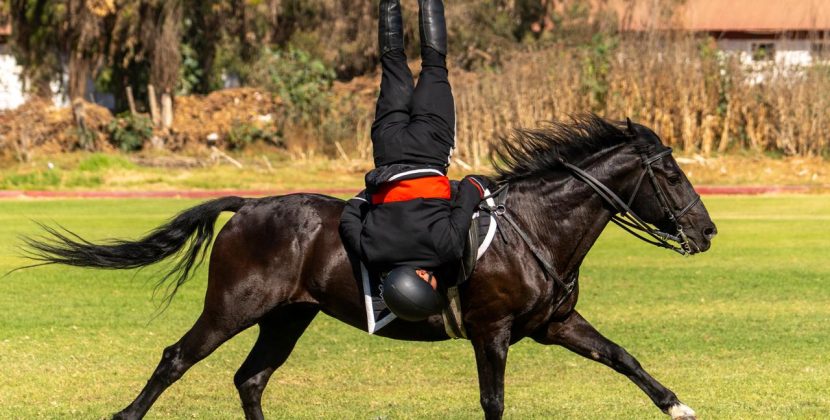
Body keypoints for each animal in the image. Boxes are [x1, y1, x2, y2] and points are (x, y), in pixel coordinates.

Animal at [23, 115, 717, 420]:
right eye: (671, 173)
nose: (707, 231)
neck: (533, 230)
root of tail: (248, 206)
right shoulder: (491, 333)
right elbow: (493, 401)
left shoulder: (555, 325)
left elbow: (624, 358)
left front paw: (677, 406)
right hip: (232, 309)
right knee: (175, 360)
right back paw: (125, 416)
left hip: (286, 318)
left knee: (251, 379)